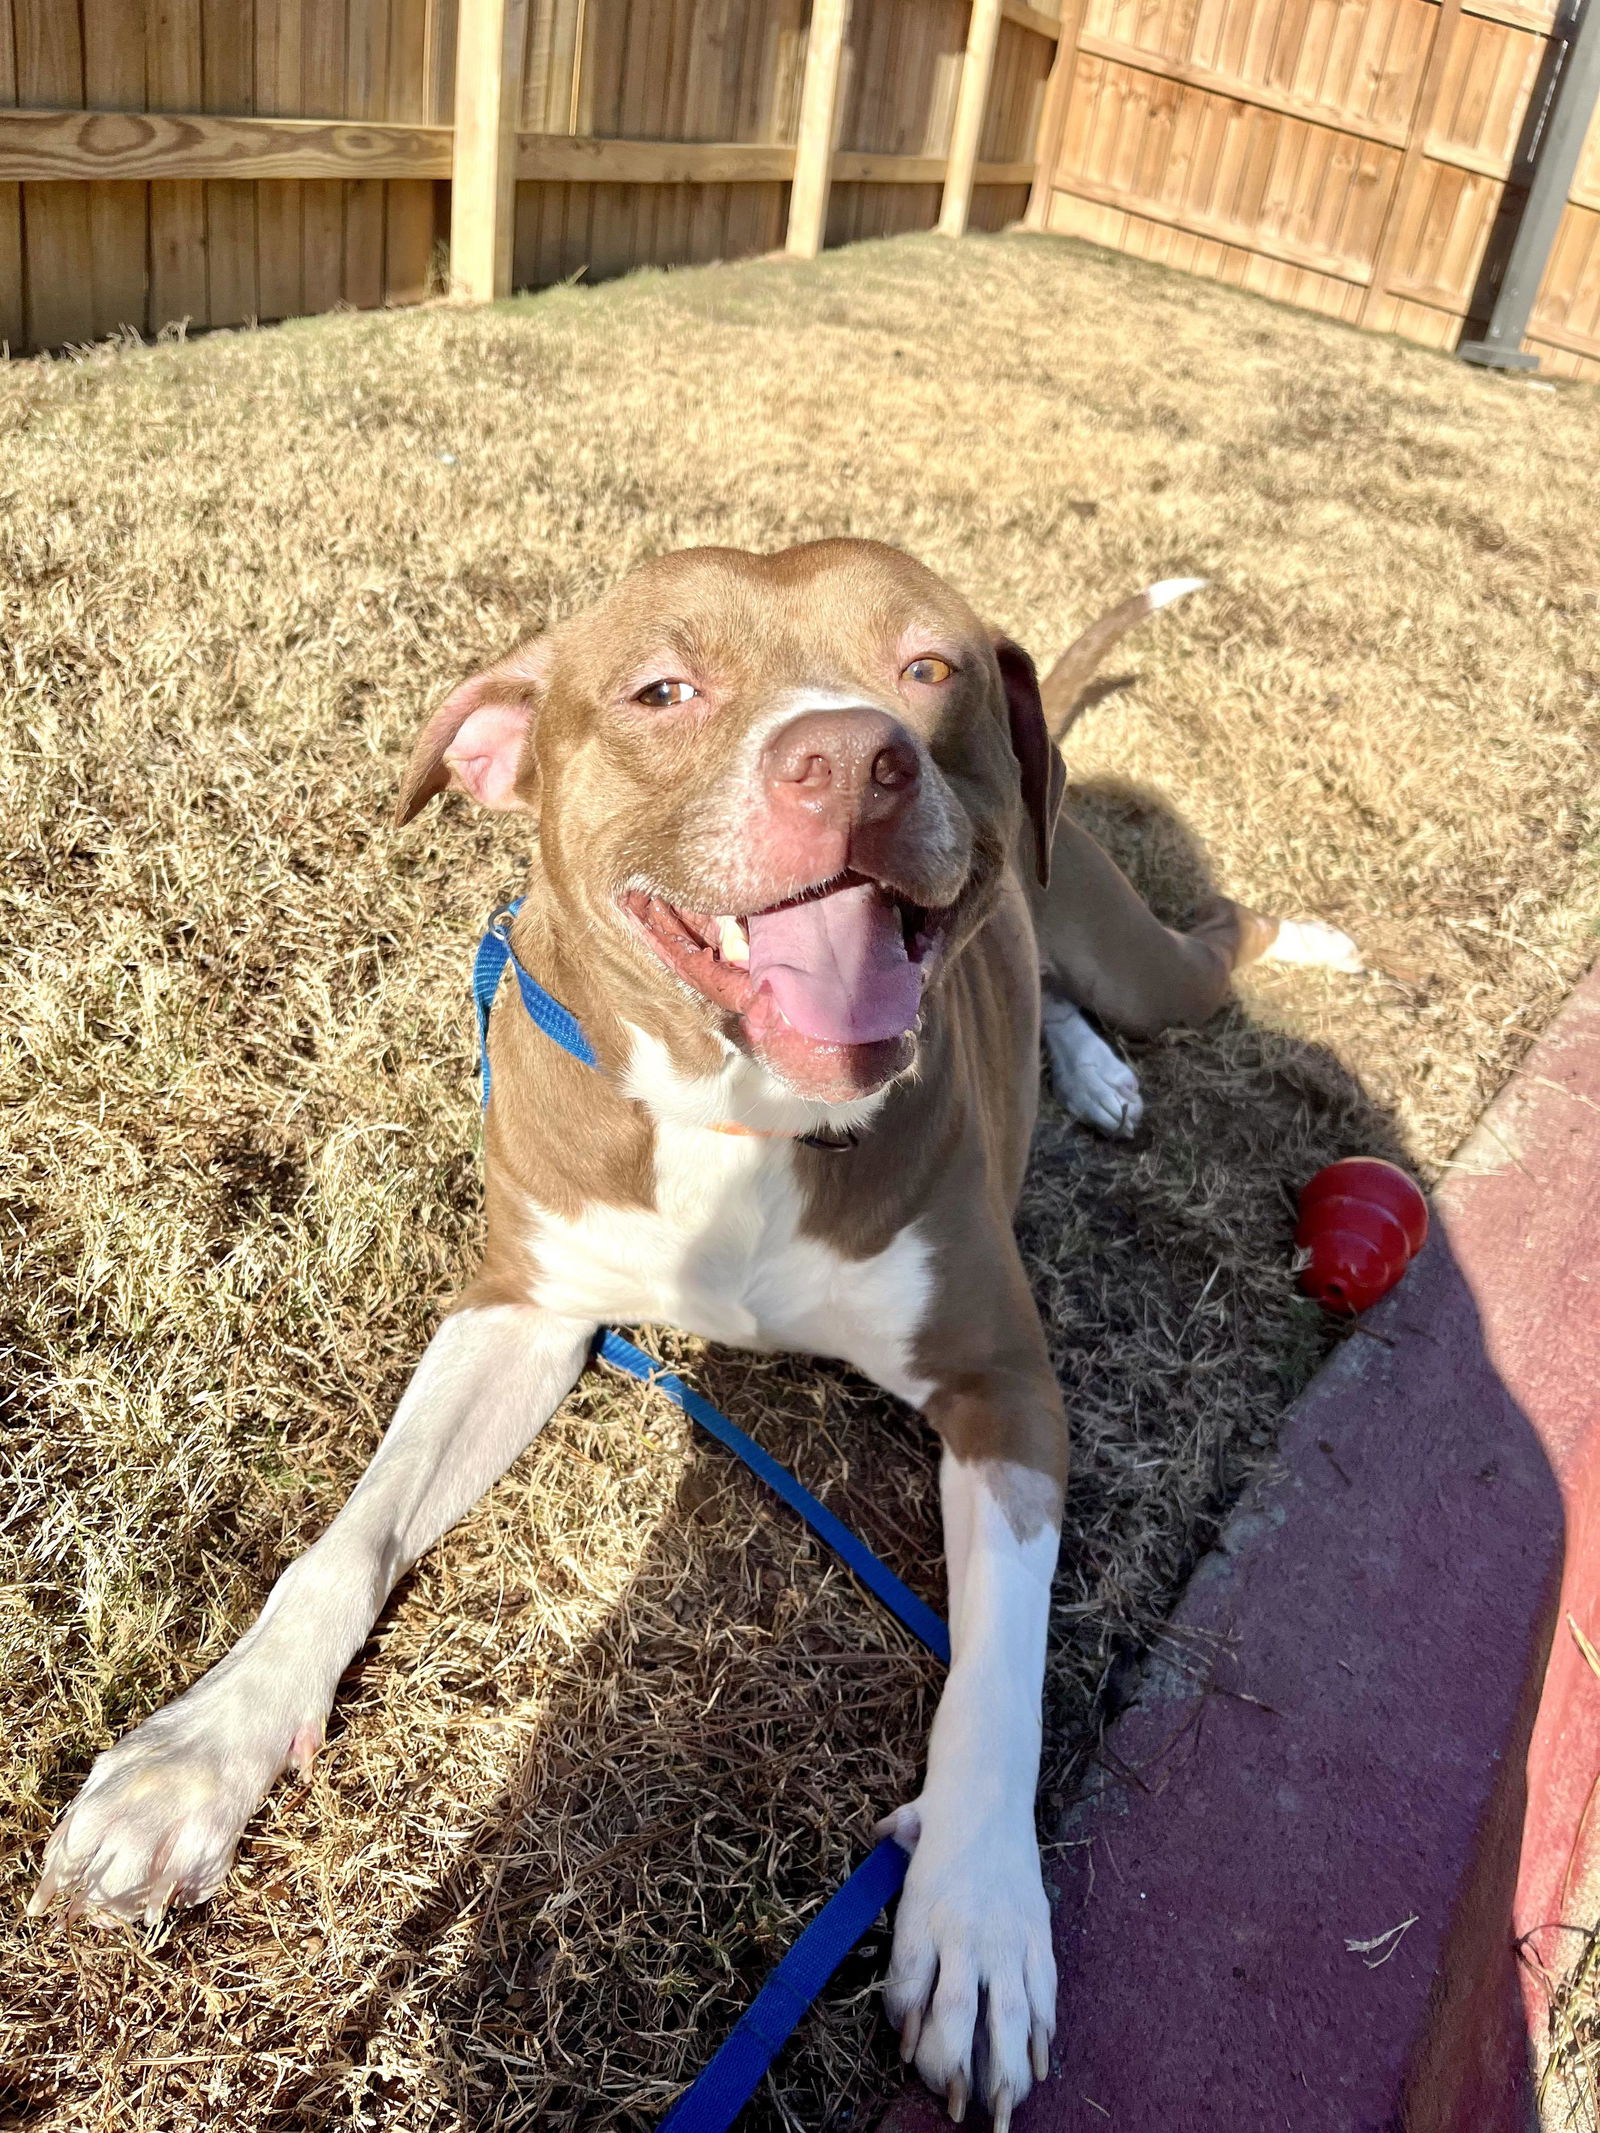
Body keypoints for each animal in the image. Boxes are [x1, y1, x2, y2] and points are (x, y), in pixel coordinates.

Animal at [31, 541, 1356, 2124]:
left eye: (930, 667)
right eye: (662, 689)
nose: (852, 757)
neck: (742, 1116)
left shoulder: (1008, 1392)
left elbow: (998, 1671)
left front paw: (978, 1913)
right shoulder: (522, 1308)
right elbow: (345, 1540)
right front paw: (200, 1756)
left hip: (1129, 944)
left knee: (1200, 943)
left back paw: (1262, 969)